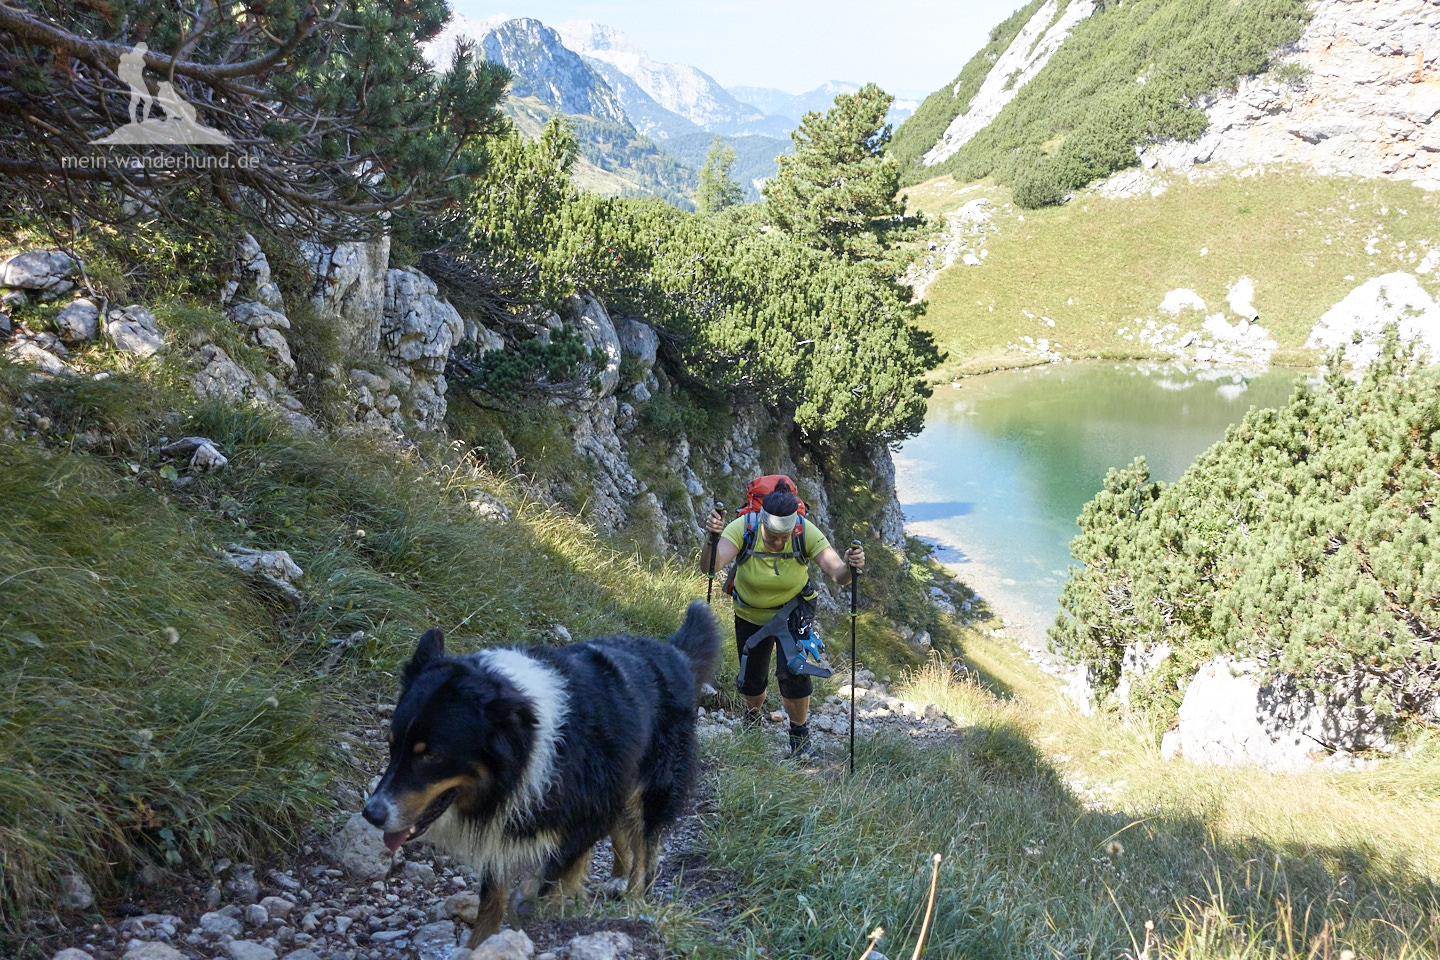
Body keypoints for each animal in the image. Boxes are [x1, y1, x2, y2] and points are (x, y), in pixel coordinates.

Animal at [360, 601, 720, 944]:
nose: (371, 814)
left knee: (645, 848)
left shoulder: (591, 809)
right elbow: (493, 897)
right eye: (392, 745)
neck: (529, 740)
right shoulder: (507, 823)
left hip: (655, 786)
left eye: (430, 756)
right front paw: (479, 945)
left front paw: (532, 896)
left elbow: (553, 868)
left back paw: (634, 899)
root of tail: (675, 653)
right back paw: (618, 878)